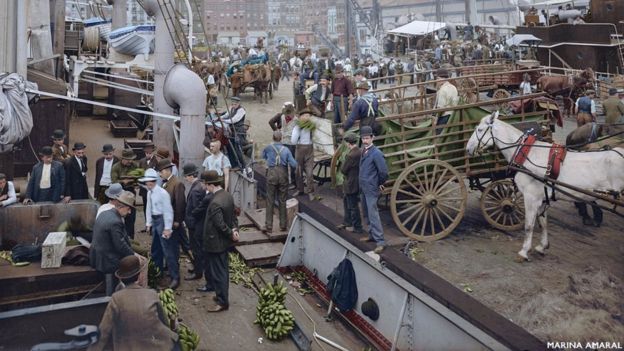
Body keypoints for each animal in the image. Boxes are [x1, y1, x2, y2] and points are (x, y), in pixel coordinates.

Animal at [466, 113, 624, 262]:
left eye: (479, 130)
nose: (468, 149)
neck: (527, 154)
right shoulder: (542, 198)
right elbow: (543, 223)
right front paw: (542, 246)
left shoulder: (531, 197)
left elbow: (529, 226)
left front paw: (524, 252)